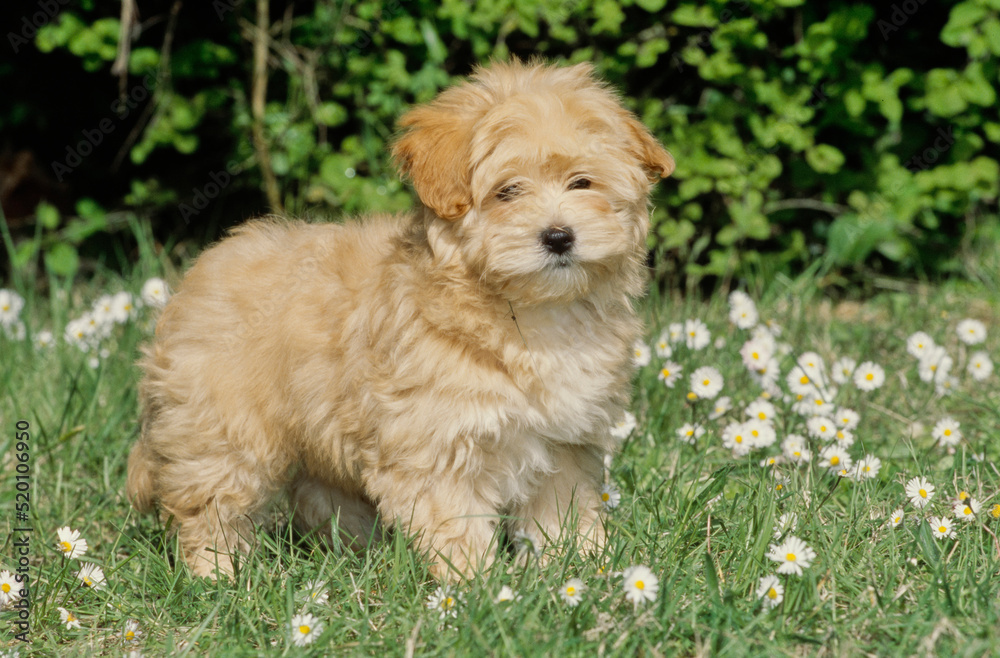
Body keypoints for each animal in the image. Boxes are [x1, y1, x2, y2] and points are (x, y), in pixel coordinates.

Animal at [125, 59, 672, 576]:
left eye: (582, 182)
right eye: (507, 192)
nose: (558, 237)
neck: (524, 313)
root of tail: (197, 275)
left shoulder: (563, 442)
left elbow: (562, 512)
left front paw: (582, 572)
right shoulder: (436, 442)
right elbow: (454, 522)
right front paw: (477, 587)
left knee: (321, 497)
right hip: (222, 427)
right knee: (211, 503)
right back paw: (218, 574)